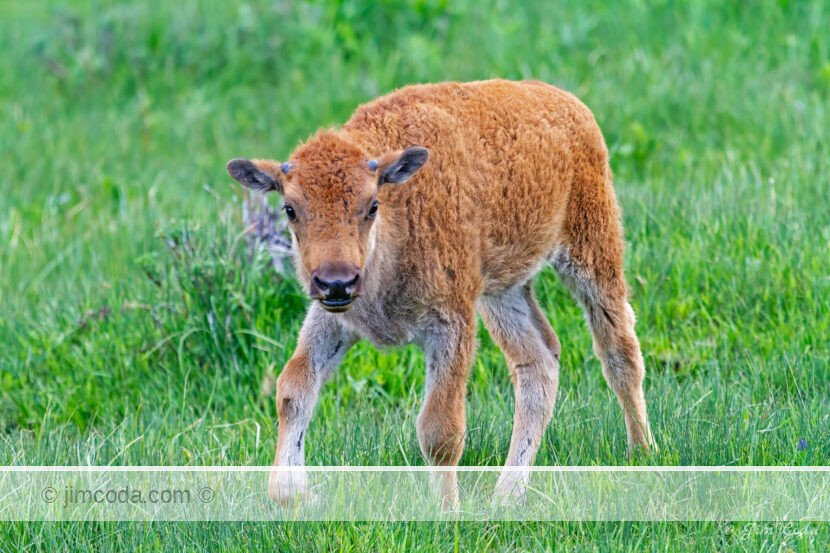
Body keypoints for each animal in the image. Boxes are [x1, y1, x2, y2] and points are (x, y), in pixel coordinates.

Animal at [227, 79, 655, 508]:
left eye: (372, 205)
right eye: (290, 209)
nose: (336, 282)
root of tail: (565, 102)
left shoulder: (450, 326)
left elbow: (440, 430)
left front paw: (446, 510)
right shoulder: (335, 320)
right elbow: (293, 388)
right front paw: (292, 493)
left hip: (591, 251)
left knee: (619, 350)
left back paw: (642, 454)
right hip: (502, 292)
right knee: (538, 363)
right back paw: (507, 494)